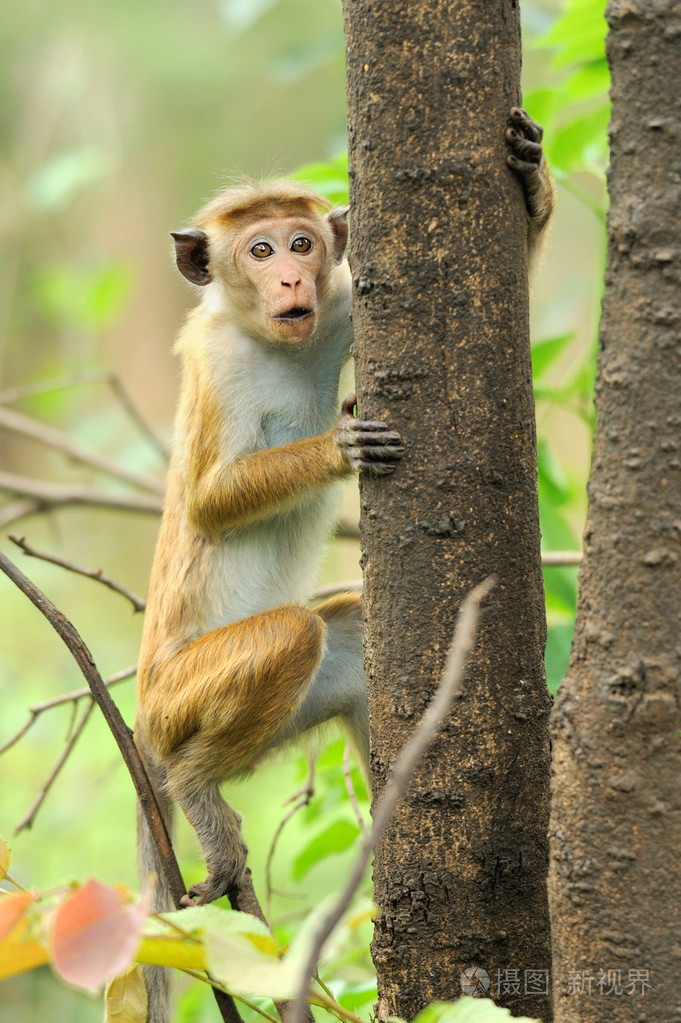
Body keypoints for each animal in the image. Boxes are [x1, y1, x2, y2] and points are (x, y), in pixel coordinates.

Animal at [133, 105, 552, 1023]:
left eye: (301, 243)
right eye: (258, 250)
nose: (291, 276)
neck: (272, 341)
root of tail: (142, 726)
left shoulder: (339, 308)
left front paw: (531, 179)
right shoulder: (215, 363)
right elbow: (208, 502)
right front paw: (339, 445)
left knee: (344, 635)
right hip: (177, 699)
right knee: (290, 634)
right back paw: (196, 788)